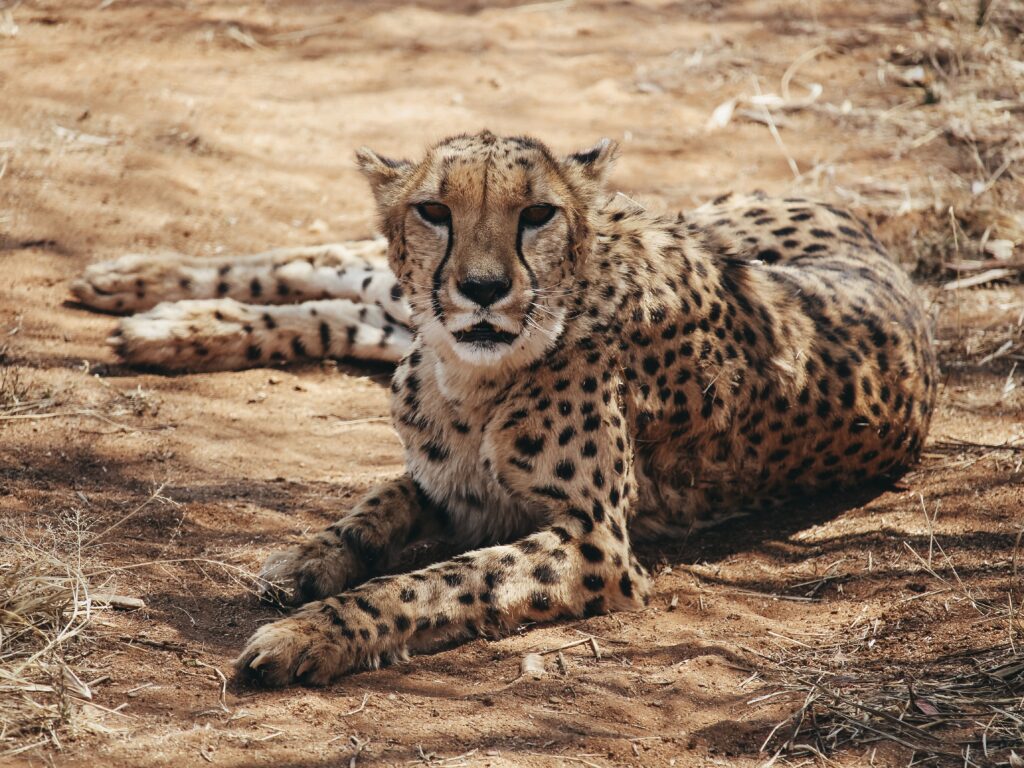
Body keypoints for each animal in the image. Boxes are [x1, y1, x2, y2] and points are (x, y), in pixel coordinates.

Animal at [71, 130, 937, 687]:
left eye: (536, 213)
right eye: (434, 211)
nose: (482, 288)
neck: (469, 374)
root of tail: (858, 222)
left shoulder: (591, 543)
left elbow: (434, 580)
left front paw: (312, 627)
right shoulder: (457, 473)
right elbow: (381, 502)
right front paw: (313, 556)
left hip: (394, 322)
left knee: (344, 304)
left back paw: (169, 322)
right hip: (397, 296)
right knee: (325, 263)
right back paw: (141, 285)